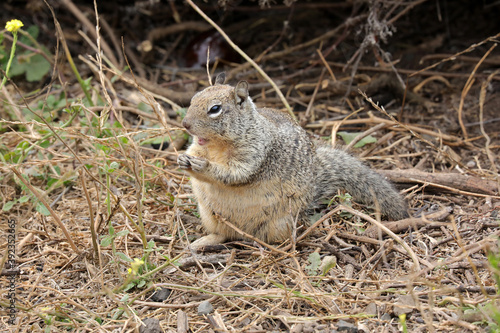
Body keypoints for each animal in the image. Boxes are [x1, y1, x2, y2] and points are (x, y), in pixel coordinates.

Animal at [178, 74, 408, 248]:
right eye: (194, 98)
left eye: (215, 109)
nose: (185, 124)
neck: (216, 146)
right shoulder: (198, 147)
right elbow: (193, 152)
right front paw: (182, 159)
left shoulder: (255, 153)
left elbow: (236, 173)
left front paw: (204, 166)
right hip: (210, 215)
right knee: (223, 234)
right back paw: (201, 242)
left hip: (280, 223)